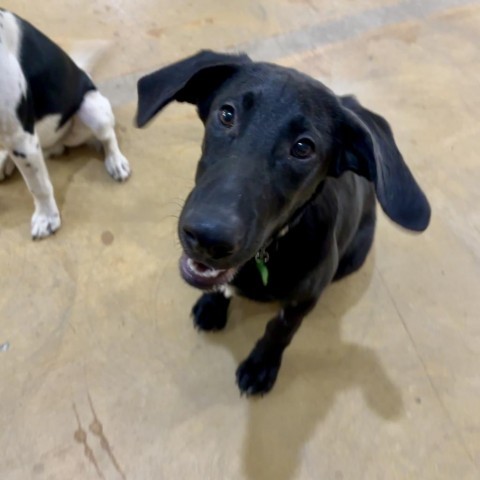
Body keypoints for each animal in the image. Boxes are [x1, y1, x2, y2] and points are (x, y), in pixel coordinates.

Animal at [0, 8, 131, 238]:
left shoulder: (20, 137)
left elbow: (39, 186)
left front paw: (46, 217)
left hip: (92, 108)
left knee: (108, 137)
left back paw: (115, 161)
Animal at [136, 50, 432, 396]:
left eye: (303, 147)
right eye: (227, 114)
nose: (208, 238)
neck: (270, 251)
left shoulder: (302, 300)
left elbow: (279, 331)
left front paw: (261, 366)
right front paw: (212, 305)